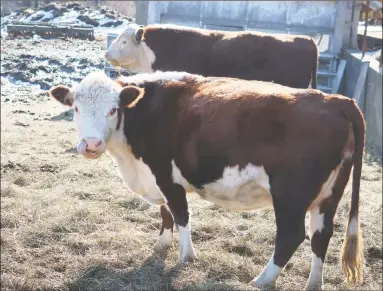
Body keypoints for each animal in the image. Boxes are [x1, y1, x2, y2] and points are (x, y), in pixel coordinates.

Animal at [49, 70, 364, 290]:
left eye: (113, 109)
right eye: (75, 108)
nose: (90, 144)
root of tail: (336, 100)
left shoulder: (166, 176)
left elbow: (179, 215)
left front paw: (186, 256)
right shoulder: (157, 179)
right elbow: (165, 214)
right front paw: (161, 246)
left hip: (290, 195)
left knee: (291, 236)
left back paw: (261, 280)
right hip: (329, 195)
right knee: (321, 236)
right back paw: (313, 284)